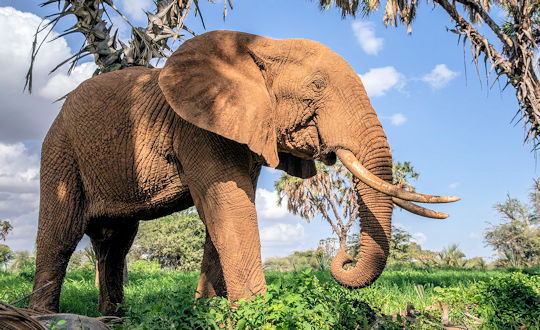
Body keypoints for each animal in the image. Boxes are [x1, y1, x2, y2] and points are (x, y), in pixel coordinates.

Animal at [28, 30, 460, 314]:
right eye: (317, 85)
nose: (345, 259)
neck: (261, 45)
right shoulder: (199, 126)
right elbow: (230, 208)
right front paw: (251, 313)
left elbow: (224, 212)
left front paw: (209, 310)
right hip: (60, 152)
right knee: (61, 235)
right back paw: (45, 317)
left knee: (114, 242)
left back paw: (112, 319)